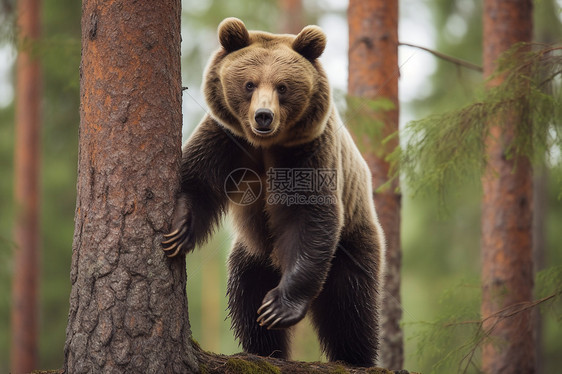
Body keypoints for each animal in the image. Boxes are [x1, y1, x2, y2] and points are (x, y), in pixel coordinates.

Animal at [160, 18, 382, 368]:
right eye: (249, 84)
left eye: (283, 87)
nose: (263, 116)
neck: (265, 145)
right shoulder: (227, 139)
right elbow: (198, 181)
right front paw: (178, 231)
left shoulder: (308, 152)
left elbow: (309, 216)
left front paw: (279, 307)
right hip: (252, 254)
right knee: (245, 298)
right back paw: (263, 349)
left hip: (352, 240)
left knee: (351, 306)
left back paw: (356, 359)